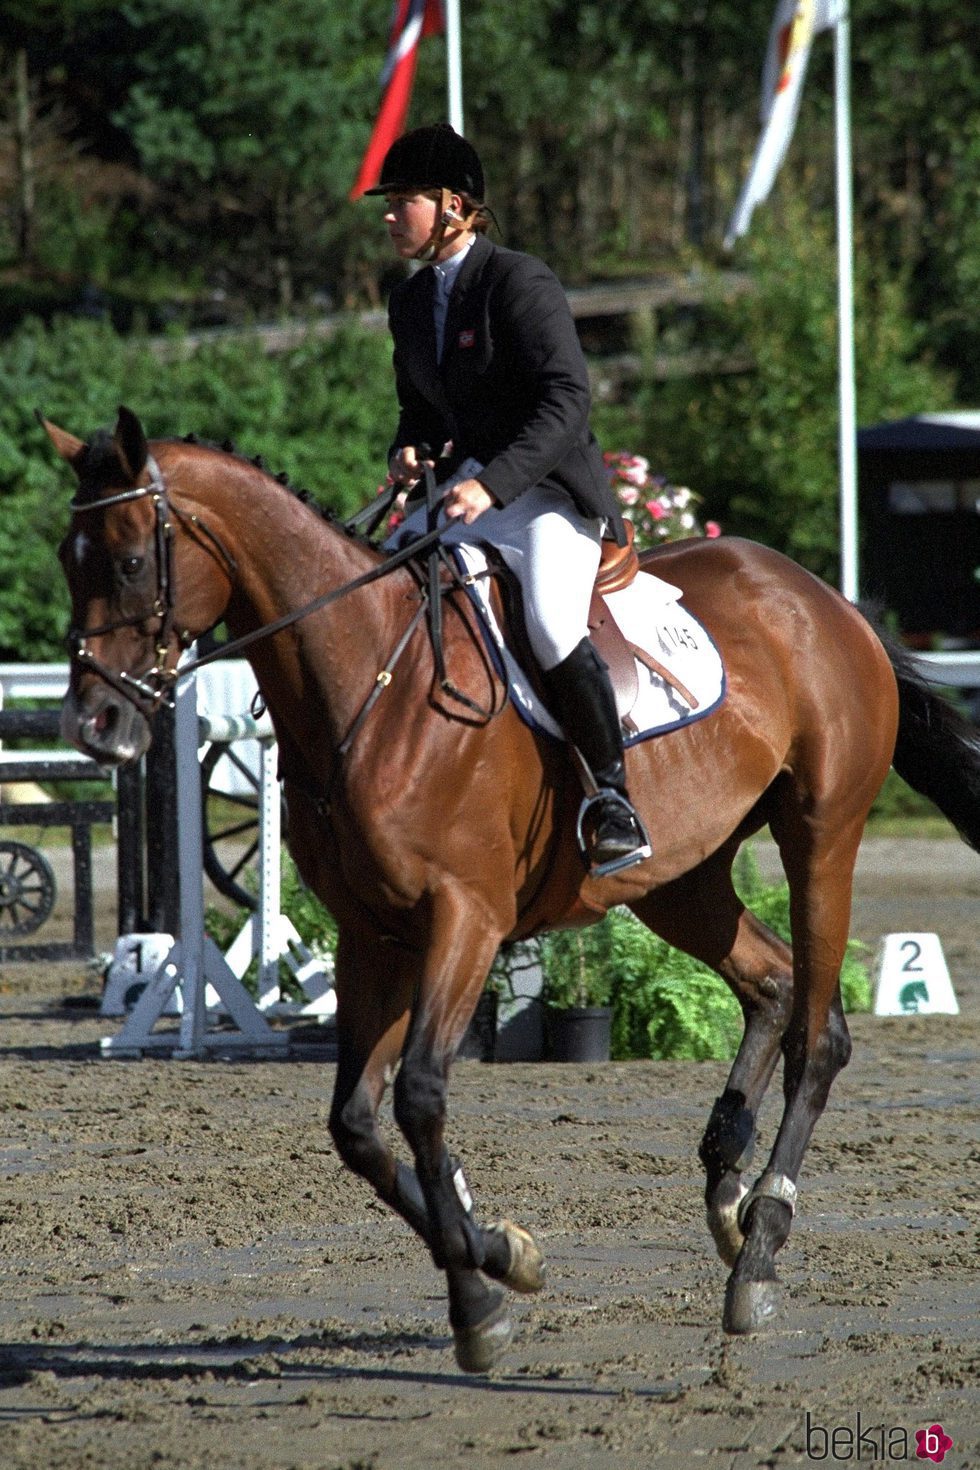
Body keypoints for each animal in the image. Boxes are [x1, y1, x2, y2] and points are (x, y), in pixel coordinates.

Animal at [45, 408, 980, 1370]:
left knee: (818, 1036)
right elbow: (357, 1124)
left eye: (127, 562)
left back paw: (759, 1244)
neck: (370, 681)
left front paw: (478, 1301)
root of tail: (824, 597)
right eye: (68, 561)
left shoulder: (466, 918)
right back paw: (727, 1186)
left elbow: (420, 1095)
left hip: (820, 838)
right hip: (677, 879)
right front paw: (502, 1254)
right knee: (774, 983)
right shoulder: (371, 934)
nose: (92, 725)